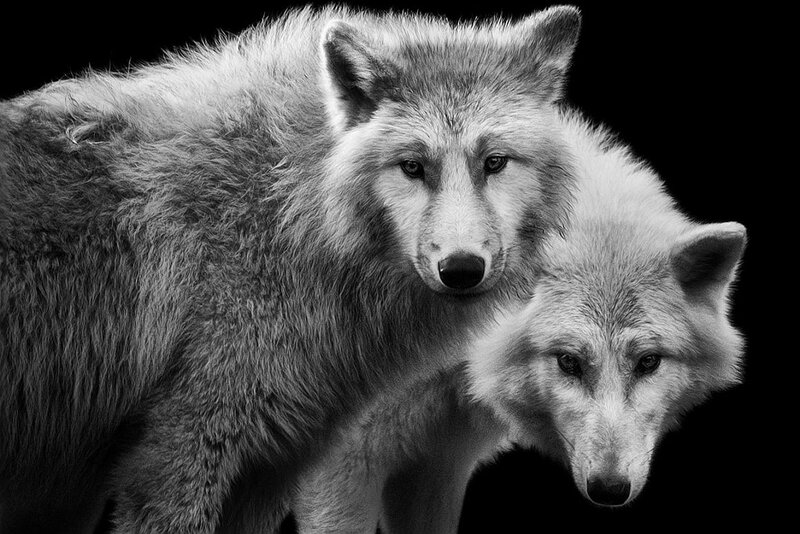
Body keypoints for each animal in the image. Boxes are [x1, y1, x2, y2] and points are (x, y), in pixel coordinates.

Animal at [0, 4, 582, 533]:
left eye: (494, 162)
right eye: (413, 167)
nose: (461, 268)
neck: (288, 212)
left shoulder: (271, 467)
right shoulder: (177, 452)